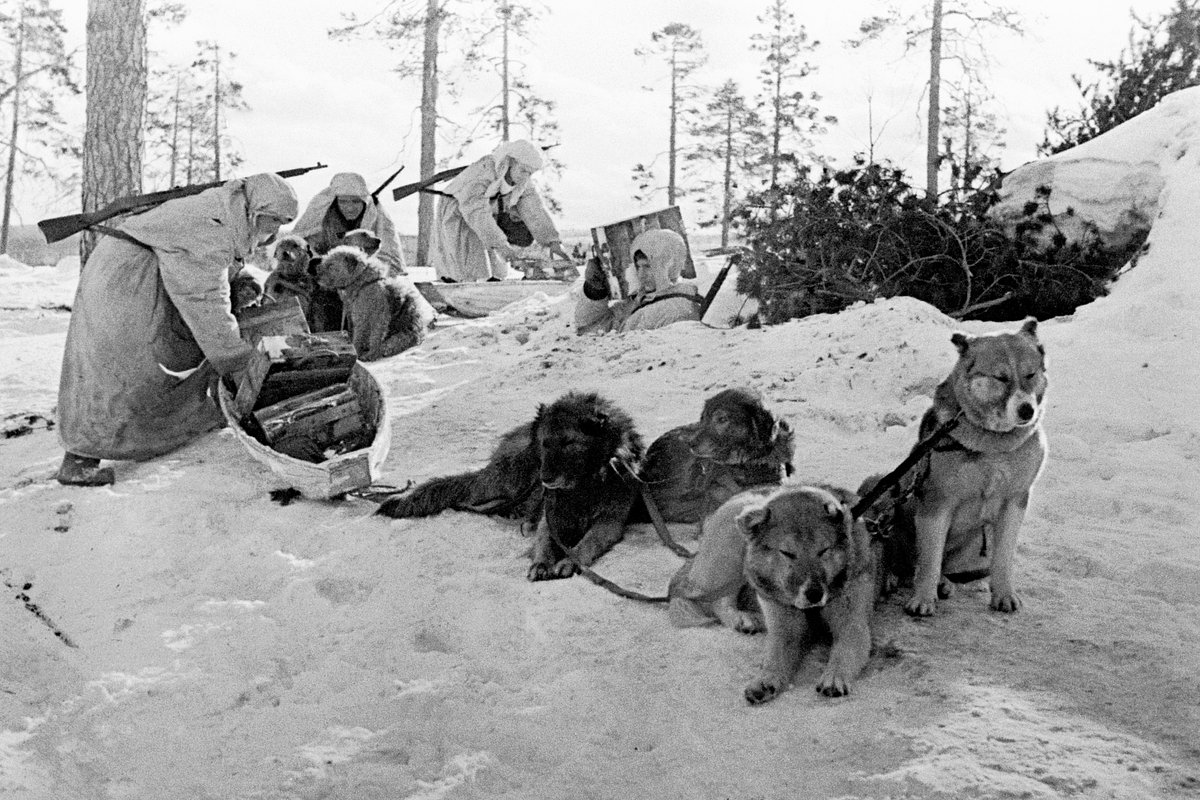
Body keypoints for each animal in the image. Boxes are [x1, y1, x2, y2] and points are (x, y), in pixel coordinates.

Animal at [376, 388, 648, 582]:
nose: (545, 479)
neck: (582, 486)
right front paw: (541, 563)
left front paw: (571, 561)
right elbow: (544, 541)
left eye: (568, 443)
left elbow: (588, 542)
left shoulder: (609, 523)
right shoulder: (550, 516)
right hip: (514, 474)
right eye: (545, 443)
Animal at [864, 316, 1051, 618]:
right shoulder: (937, 503)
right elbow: (929, 559)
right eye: (1000, 377)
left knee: (939, 567)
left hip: (979, 544)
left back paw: (945, 583)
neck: (992, 446)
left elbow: (1004, 558)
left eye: (1030, 374)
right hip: (882, 487)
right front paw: (922, 600)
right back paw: (893, 577)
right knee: (904, 559)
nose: (1027, 410)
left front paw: (1004, 595)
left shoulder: (1015, 502)